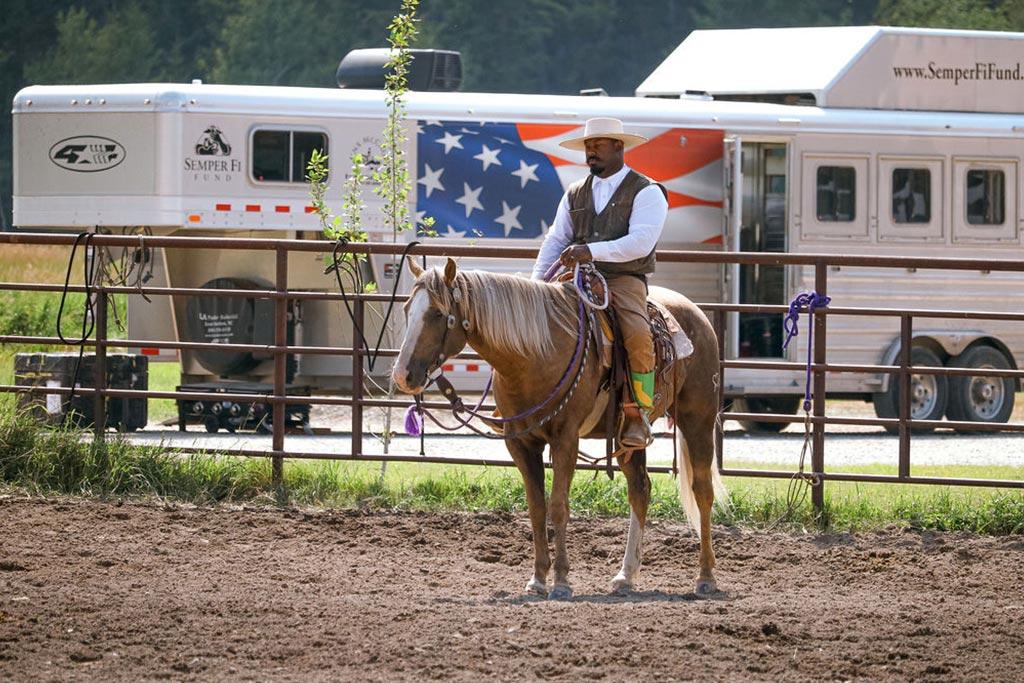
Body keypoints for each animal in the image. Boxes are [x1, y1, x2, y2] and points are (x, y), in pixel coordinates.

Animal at [387, 258, 724, 598]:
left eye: (437, 314)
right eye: (407, 309)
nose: (402, 375)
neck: (535, 354)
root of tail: (697, 316)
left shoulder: (566, 439)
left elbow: (559, 505)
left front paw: (561, 581)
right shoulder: (521, 444)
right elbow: (537, 508)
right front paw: (537, 579)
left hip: (698, 418)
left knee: (702, 491)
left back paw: (706, 577)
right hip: (627, 438)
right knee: (640, 489)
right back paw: (626, 575)